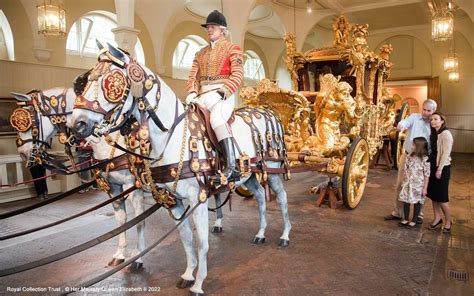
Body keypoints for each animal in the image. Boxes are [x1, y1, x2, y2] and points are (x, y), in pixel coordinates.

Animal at [12, 87, 146, 270]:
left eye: (26, 121)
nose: (23, 153)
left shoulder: (133, 185)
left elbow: (139, 220)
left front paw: (138, 256)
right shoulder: (113, 186)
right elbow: (121, 220)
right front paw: (119, 255)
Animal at [68, 44, 290, 296]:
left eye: (111, 80)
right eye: (86, 82)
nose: (77, 124)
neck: (170, 137)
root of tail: (268, 112)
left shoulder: (192, 197)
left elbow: (199, 240)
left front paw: (199, 282)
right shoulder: (169, 199)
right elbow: (185, 237)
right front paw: (188, 274)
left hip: (272, 169)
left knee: (281, 198)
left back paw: (284, 235)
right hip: (249, 174)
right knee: (261, 196)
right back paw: (260, 233)